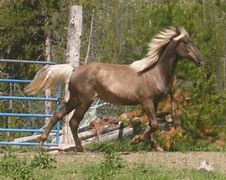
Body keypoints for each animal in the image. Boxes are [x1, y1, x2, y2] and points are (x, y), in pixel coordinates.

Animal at [24, 26, 203, 151]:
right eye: (186, 42)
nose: (200, 60)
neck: (154, 72)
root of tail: (74, 70)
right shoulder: (146, 101)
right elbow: (153, 124)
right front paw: (135, 140)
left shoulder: (155, 102)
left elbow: (153, 124)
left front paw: (156, 146)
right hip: (84, 101)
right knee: (74, 122)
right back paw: (80, 148)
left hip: (74, 100)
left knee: (58, 115)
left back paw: (41, 144)